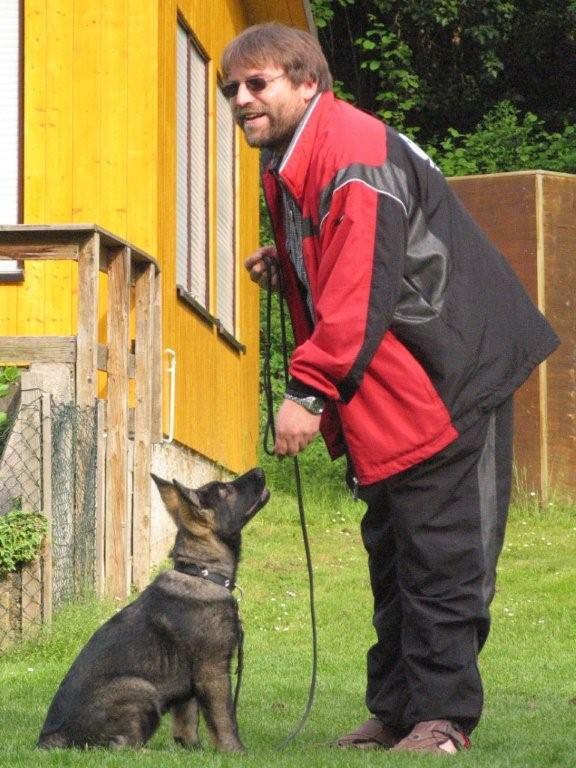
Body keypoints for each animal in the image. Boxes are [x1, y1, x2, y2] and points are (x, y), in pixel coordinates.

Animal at [38, 468, 268, 752]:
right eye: (226, 490)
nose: (260, 470)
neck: (201, 572)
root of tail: (49, 739)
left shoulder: (189, 684)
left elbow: (186, 721)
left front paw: (191, 750)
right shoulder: (212, 670)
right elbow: (224, 718)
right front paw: (234, 751)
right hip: (142, 689)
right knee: (120, 746)